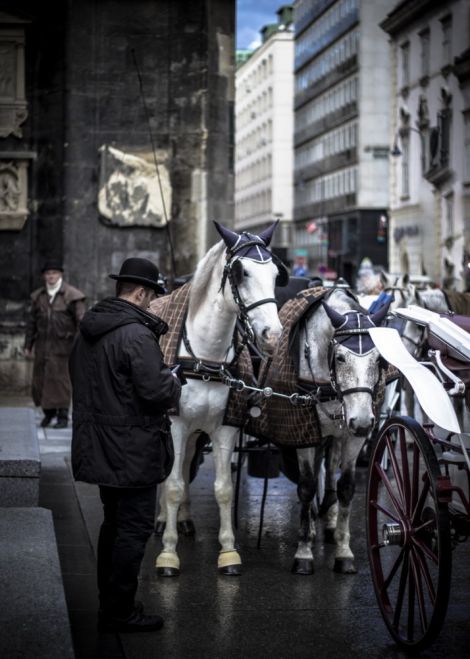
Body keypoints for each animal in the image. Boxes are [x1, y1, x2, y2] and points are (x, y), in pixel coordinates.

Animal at [156, 222, 284, 576]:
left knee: (186, 462)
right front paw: (168, 553)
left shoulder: (225, 426)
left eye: (276, 273)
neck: (206, 357)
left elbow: (224, 490)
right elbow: (172, 485)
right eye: (241, 272)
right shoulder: (175, 424)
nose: (273, 336)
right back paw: (162, 519)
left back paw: (184, 519)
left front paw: (228, 552)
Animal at [294, 288, 390, 572]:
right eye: (339, 357)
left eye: (379, 359)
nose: (362, 421)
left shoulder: (352, 436)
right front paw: (303, 552)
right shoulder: (303, 430)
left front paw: (343, 550)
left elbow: (346, 487)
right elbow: (306, 485)